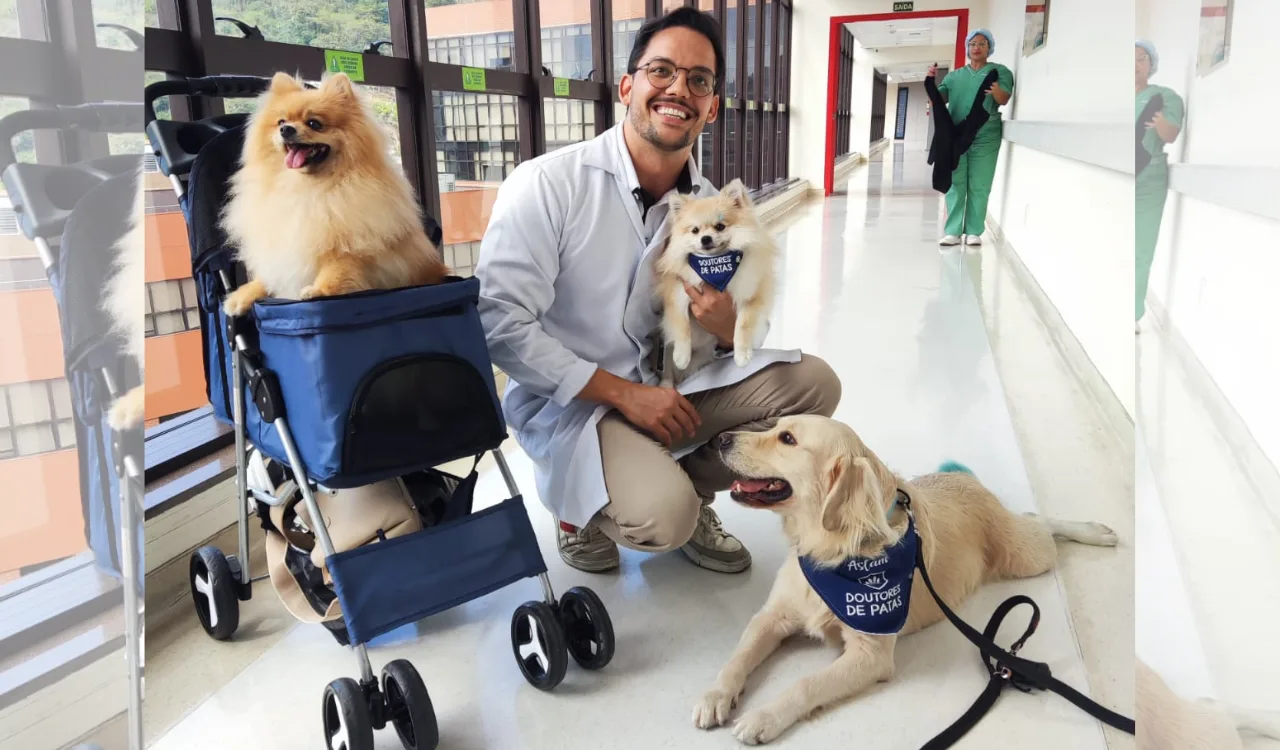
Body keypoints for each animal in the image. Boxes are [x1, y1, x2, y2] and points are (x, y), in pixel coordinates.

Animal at [216, 70, 445, 314]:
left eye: (314, 123)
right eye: (281, 121)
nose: (286, 129)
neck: (307, 187)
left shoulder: (349, 244)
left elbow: (337, 270)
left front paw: (319, 291)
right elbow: (269, 276)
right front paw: (242, 296)